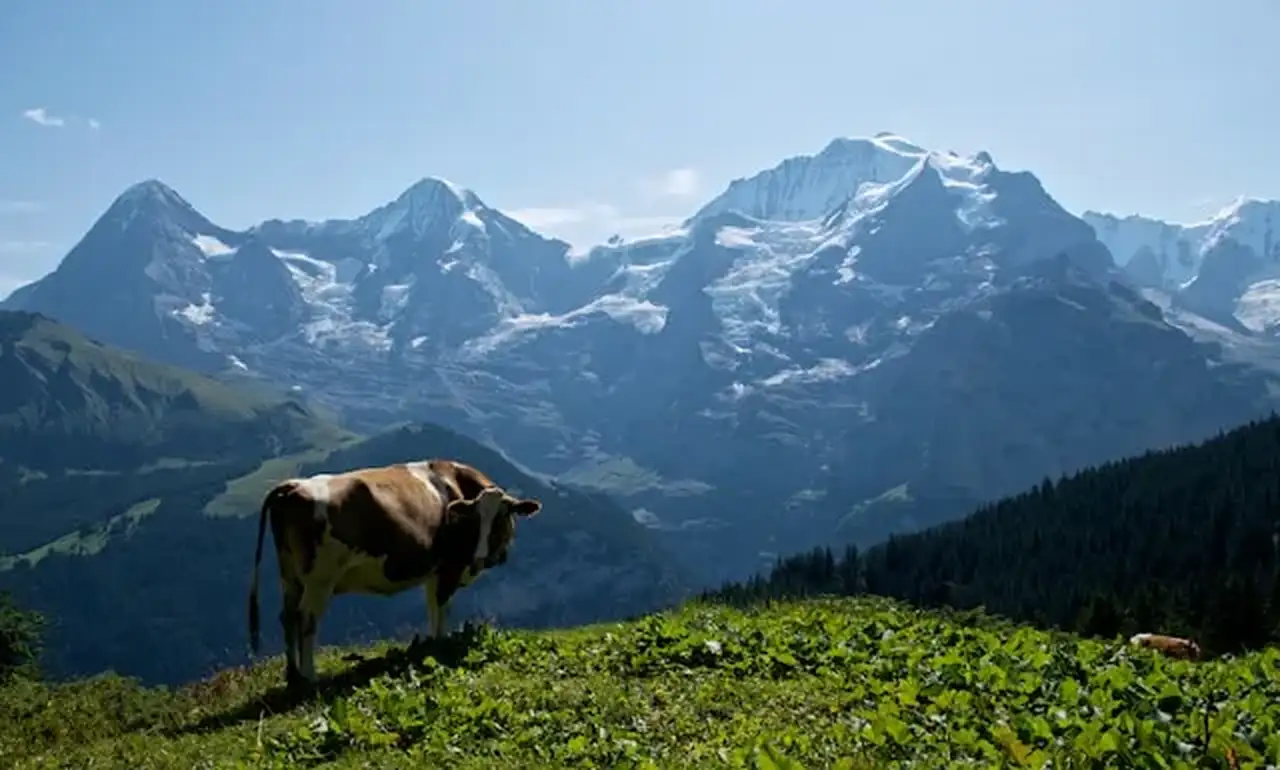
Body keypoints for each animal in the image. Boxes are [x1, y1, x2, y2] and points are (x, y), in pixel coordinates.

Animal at [246, 458, 542, 690]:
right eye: (477, 519)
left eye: (501, 517)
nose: (481, 556)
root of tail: (291, 486)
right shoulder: (450, 566)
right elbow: (442, 605)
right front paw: (441, 643)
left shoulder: (434, 570)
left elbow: (433, 605)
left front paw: (432, 642)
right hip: (320, 578)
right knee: (306, 618)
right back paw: (309, 676)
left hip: (290, 576)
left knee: (287, 616)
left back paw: (293, 676)